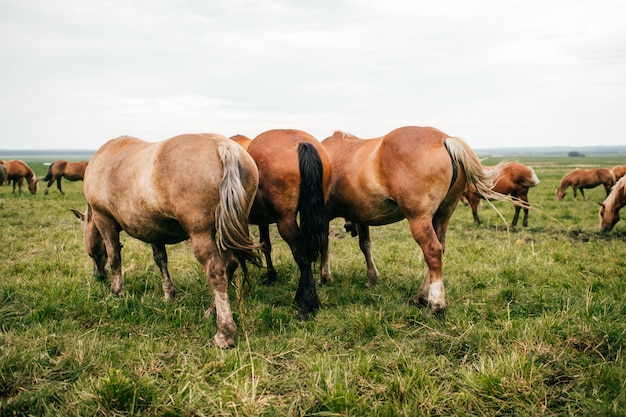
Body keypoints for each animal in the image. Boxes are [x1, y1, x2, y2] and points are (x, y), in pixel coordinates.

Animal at [76, 133, 260, 348]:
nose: (98, 274)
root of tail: (224, 147)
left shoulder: (104, 220)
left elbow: (114, 257)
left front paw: (116, 291)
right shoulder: (152, 229)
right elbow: (160, 260)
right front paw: (169, 295)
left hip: (201, 233)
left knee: (216, 271)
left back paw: (224, 331)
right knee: (230, 264)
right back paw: (210, 312)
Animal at [232, 128, 332, 314]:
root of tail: (301, 143)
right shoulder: (262, 220)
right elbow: (266, 244)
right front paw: (271, 275)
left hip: (285, 220)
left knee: (301, 255)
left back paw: (307, 303)